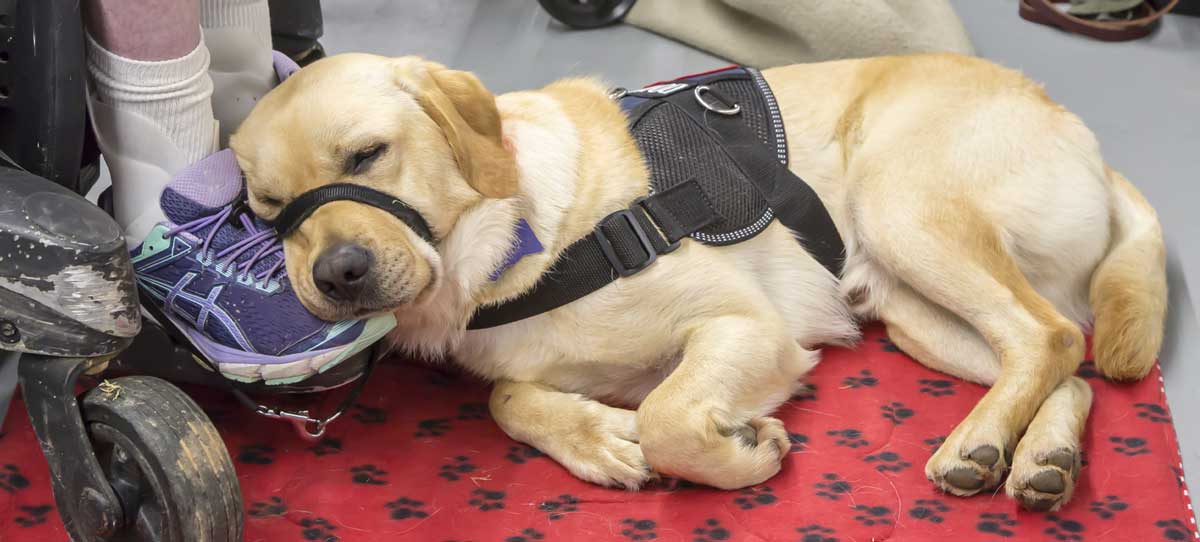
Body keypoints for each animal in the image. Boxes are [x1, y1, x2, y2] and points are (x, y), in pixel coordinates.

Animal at [229, 53, 1166, 510]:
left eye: (366, 155)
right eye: (269, 208)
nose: (336, 273)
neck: (521, 238)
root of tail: (1071, 123)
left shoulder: (745, 325)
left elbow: (672, 415)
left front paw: (739, 455)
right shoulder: (525, 367)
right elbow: (509, 398)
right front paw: (602, 440)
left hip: (903, 207)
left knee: (1050, 335)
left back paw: (972, 445)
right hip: (909, 309)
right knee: (1063, 366)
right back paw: (1026, 457)